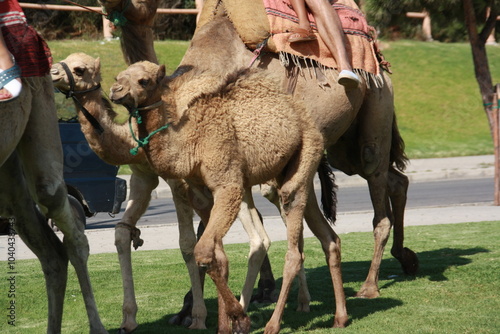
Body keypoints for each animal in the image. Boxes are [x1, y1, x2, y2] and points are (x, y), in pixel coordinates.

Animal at [108, 61, 348, 332]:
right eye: (119, 76)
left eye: (144, 81)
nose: (115, 91)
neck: (192, 143)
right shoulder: (199, 190)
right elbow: (216, 254)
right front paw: (229, 322)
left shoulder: (227, 183)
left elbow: (203, 251)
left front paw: (240, 318)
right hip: (294, 171)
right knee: (329, 238)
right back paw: (340, 317)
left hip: (306, 153)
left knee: (294, 246)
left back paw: (273, 324)